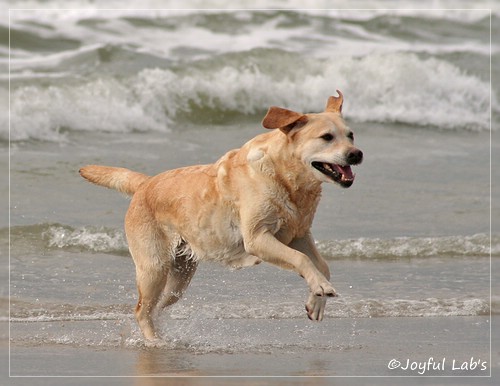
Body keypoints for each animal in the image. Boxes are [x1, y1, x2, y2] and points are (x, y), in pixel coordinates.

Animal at [81, 92, 364, 342]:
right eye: (327, 137)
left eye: (350, 135)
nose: (356, 154)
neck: (286, 178)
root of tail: (145, 184)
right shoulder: (257, 238)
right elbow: (301, 259)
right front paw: (321, 288)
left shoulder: (299, 233)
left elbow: (322, 265)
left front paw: (316, 301)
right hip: (154, 267)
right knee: (141, 310)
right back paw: (154, 342)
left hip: (179, 278)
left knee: (157, 307)